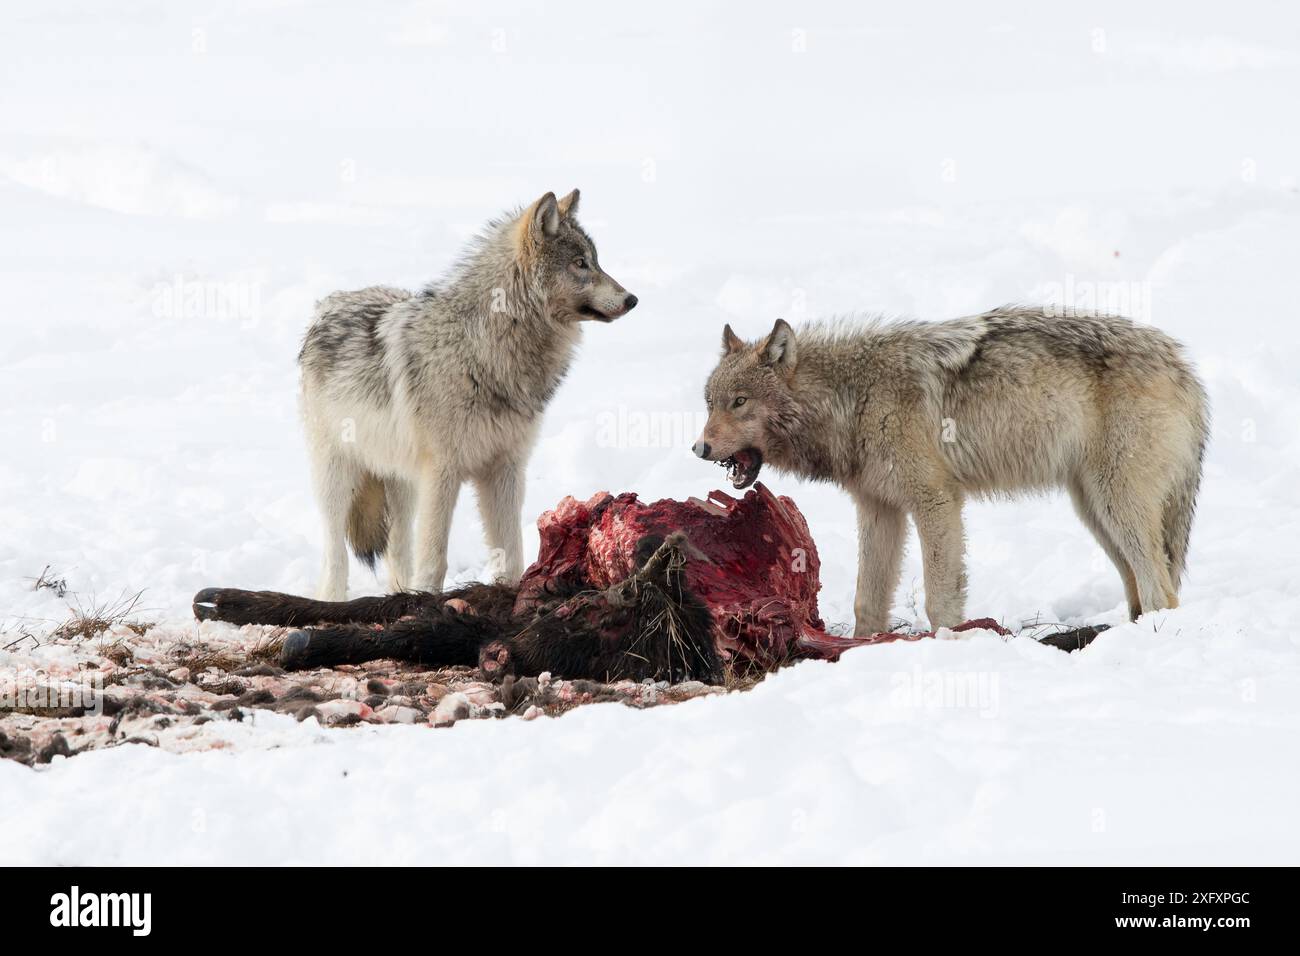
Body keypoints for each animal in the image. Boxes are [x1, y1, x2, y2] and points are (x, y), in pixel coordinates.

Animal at [300, 188, 634, 598]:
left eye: (595, 261)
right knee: (336, 556)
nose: (632, 299)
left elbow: (511, 555)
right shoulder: (443, 472)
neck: (486, 349)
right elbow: (434, 561)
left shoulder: (505, 470)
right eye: (580, 263)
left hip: (403, 487)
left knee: (398, 551)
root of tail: (330, 302)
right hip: (339, 479)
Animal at [696, 306, 1211, 634]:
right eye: (710, 403)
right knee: (1143, 588)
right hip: (1095, 511)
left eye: (740, 401)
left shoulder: (936, 500)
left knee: (1162, 591)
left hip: (1114, 504)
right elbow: (868, 602)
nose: (699, 448)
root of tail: (1184, 366)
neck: (854, 397)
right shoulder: (879, 509)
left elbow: (939, 598)